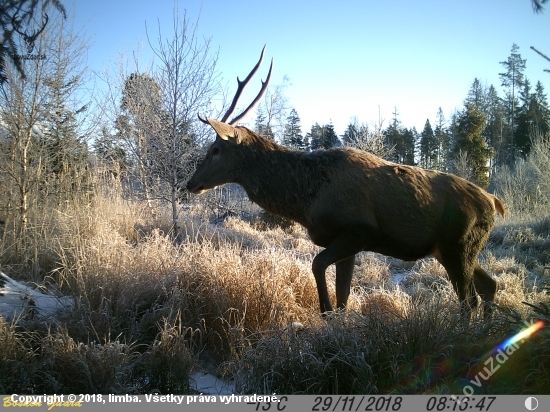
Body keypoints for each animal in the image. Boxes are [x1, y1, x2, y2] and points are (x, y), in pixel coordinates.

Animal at [188, 46, 506, 320]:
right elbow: (344, 296)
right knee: (489, 286)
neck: (306, 201)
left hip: (459, 245)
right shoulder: (349, 243)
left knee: (469, 300)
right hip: (452, 249)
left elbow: (318, 266)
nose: (190, 183)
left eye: (215, 150)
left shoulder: (360, 230)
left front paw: (325, 312)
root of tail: (495, 203)